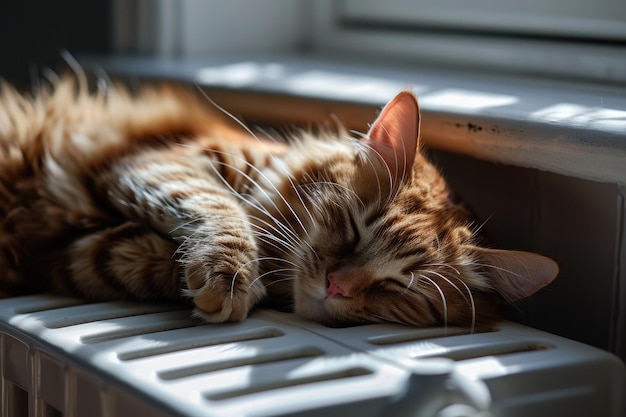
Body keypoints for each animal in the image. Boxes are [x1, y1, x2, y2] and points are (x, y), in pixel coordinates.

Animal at [0, 77, 556, 328]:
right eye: (352, 227)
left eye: (402, 286)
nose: (335, 285)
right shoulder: (159, 160)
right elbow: (218, 210)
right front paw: (229, 273)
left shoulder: (77, 255)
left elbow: (149, 257)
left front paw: (228, 285)